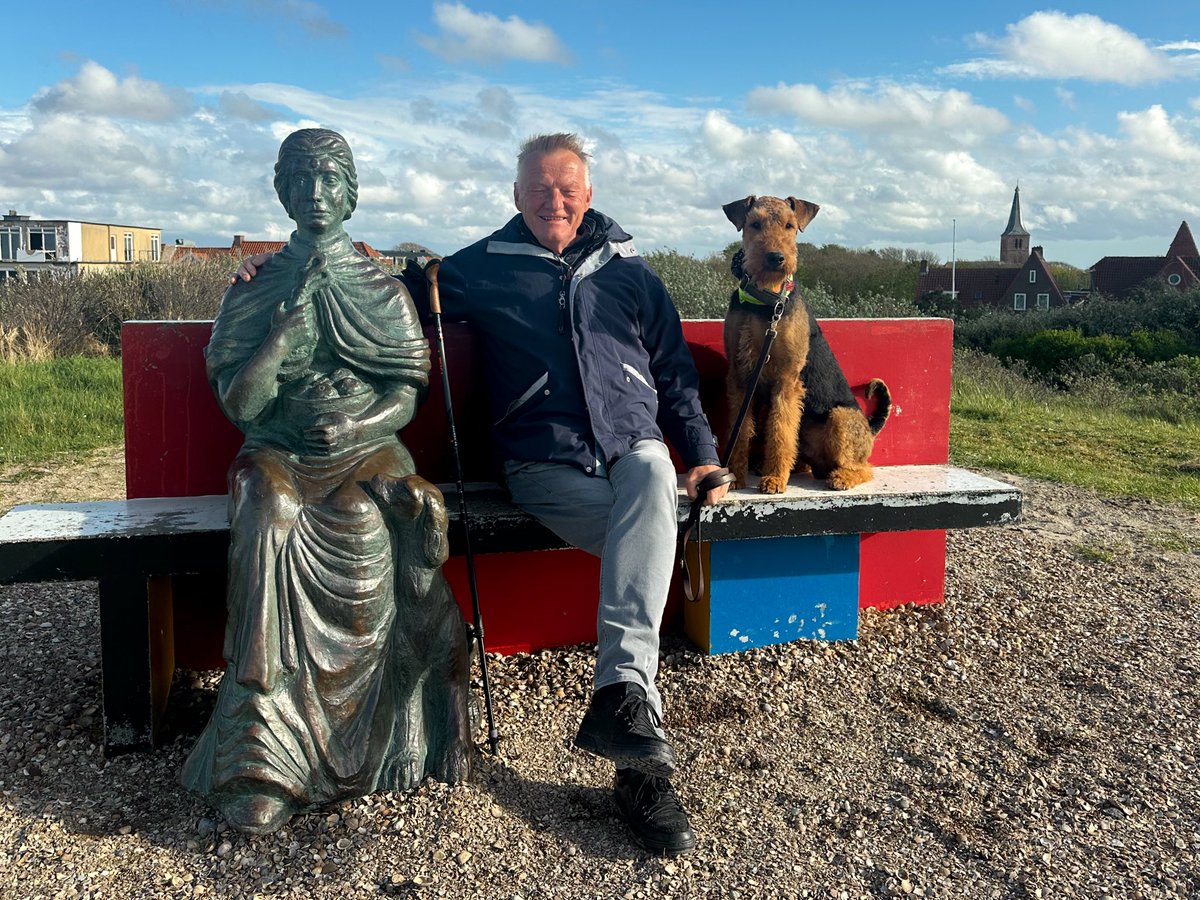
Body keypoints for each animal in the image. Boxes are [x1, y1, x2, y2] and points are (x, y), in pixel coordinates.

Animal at [720, 195, 892, 494]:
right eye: (755, 224)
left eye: (789, 226)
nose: (776, 258)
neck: (767, 301)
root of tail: (870, 428)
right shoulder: (740, 376)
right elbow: (740, 430)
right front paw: (734, 475)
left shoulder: (787, 379)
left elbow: (780, 430)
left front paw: (775, 479)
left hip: (840, 418)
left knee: (864, 468)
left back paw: (841, 478)